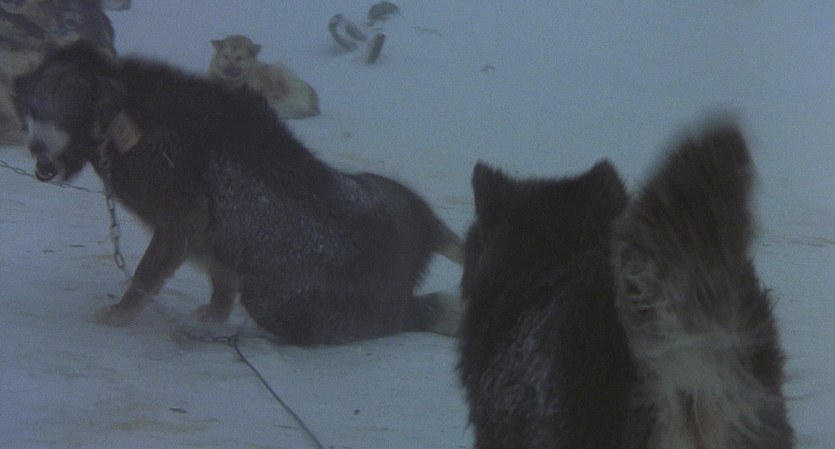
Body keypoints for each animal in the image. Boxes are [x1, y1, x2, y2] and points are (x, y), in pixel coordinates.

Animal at [13, 41, 462, 345]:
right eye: (29, 111)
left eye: (48, 110)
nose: (32, 150)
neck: (125, 119)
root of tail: (417, 242)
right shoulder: (207, 235)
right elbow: (220, 275)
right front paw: (215, 312)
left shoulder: (183, 216)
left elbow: (145, 275)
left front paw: (122, 313)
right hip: (388, 189)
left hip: (279, 301)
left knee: (407, 316)